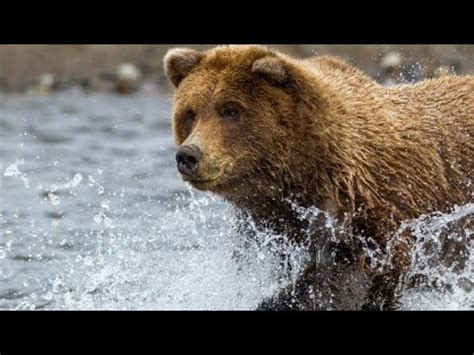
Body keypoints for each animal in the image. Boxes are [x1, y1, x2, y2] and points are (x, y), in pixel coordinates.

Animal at [164, 45, 474, 312]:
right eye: (190, 112)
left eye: (230, 110)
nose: (188, 155)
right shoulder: (272, 226)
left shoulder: (375, 209)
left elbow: (352, 272)